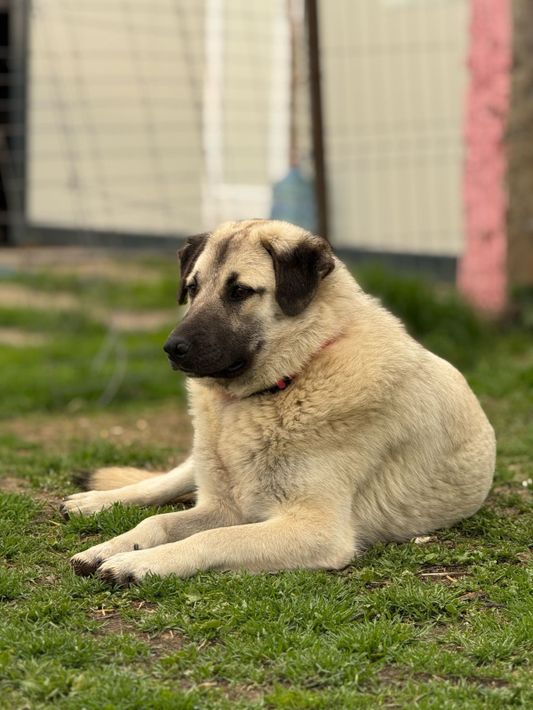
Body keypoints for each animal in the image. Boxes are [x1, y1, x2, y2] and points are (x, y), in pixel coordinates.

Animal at [63, 220, 495, 585]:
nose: (172, 349)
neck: (297, 372)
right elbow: (157, 524)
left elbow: (214, 538)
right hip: (203, 466)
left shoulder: (314, 529)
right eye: (192, 288)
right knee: (164, 482)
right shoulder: (225, 506)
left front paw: (141, 562)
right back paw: (96, 501)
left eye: (239, 291)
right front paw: (111, 546)